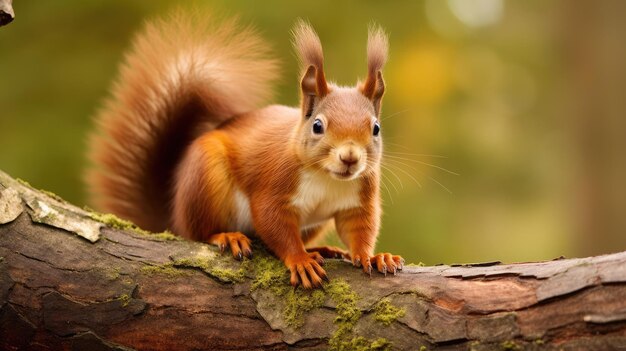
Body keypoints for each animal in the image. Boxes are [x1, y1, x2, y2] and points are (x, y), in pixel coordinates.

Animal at [85, 12, 402, 290]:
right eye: (317, 126)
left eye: (376, 128)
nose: (350, 157)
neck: (327, 177)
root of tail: (173, 217)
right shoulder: (275, 184)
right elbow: (274, 223)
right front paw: (300, 260)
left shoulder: (360, 197)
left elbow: (359, 229)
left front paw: (374, 256)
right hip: (205, 176)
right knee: (200, 232)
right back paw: (228, 237)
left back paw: (325, 249)